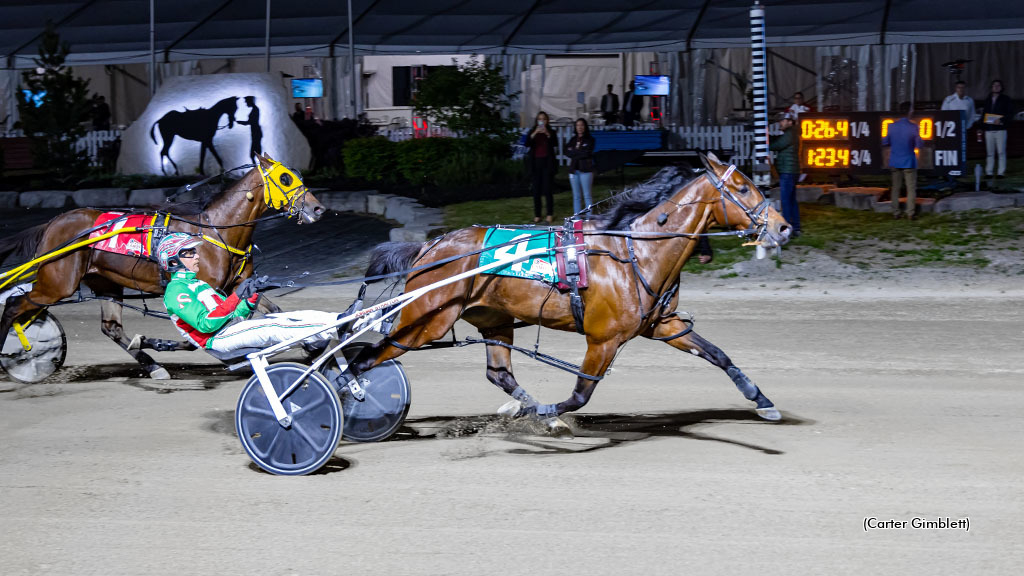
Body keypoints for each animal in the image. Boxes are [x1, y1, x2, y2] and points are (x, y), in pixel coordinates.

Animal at [1, 152, 323, 379]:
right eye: (285, 179)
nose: (318, 208)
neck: (215, 230)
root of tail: (53, 223)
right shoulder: (207, 291)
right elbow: (196, 337)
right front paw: (154, 342)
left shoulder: (239, 284)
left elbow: (274, 309)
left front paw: (311, 345)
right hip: (57, 283)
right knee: (15, 305)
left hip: (104, 282)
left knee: (111, 327)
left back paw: (153, 366)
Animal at [352, 152, 790, 426]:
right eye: (744, 188)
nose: (783, 227)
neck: (634, 252)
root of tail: (429, 247)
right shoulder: (603, 340)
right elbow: (581, 393)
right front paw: (549, 416)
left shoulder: (662, 325)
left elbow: (717, 354)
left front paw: (762, 400)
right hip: (425, 321)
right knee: (365, 359)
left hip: (493, 319)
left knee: (499, 373)